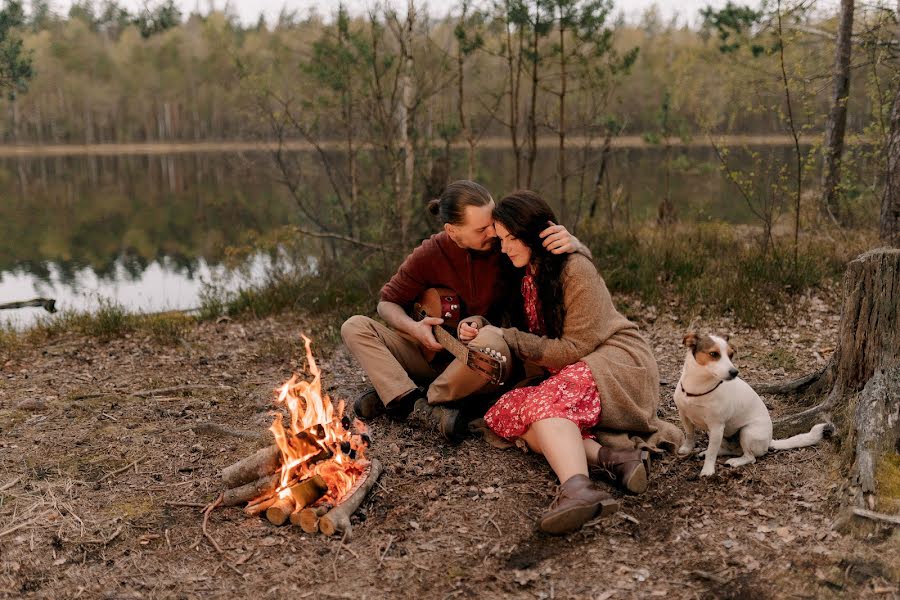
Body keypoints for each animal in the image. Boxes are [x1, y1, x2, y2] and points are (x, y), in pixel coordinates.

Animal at [676, 330, 828, 476]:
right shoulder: (684, 415)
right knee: (728, 449)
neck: (698, 386)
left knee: (750, 457)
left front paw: (708, 470)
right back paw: (710, 452)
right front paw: (687, 449)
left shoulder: (716, 426)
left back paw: (736, 461)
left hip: (747, 432)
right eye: (714, 354)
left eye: (731, 355)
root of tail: (769, 441)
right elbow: (689, 435)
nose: (734, 372)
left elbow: (712, 453)